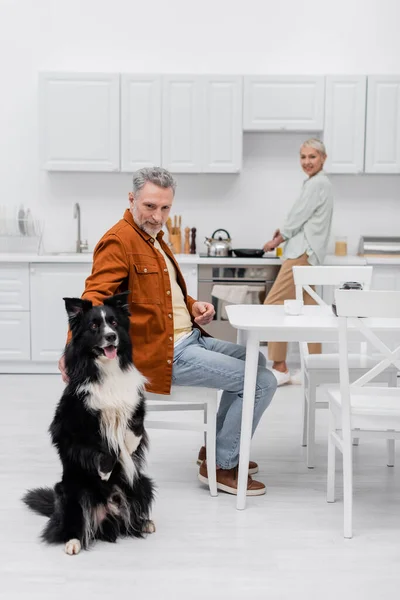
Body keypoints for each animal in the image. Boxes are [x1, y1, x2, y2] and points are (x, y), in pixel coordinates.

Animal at [23, 292, 155, 556]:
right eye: (94, 326)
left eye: (113, 322)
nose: (111, 336)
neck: (108, 370)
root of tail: (107, 515)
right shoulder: (68, 422)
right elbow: (100, 445)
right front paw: (105, 469)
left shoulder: (135, 402)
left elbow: (135, 428)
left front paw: (128, 446)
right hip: (70, 492)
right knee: (73, 525)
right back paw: (72, 542)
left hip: (141, 483)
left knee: (129, 519)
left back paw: (144, 523)